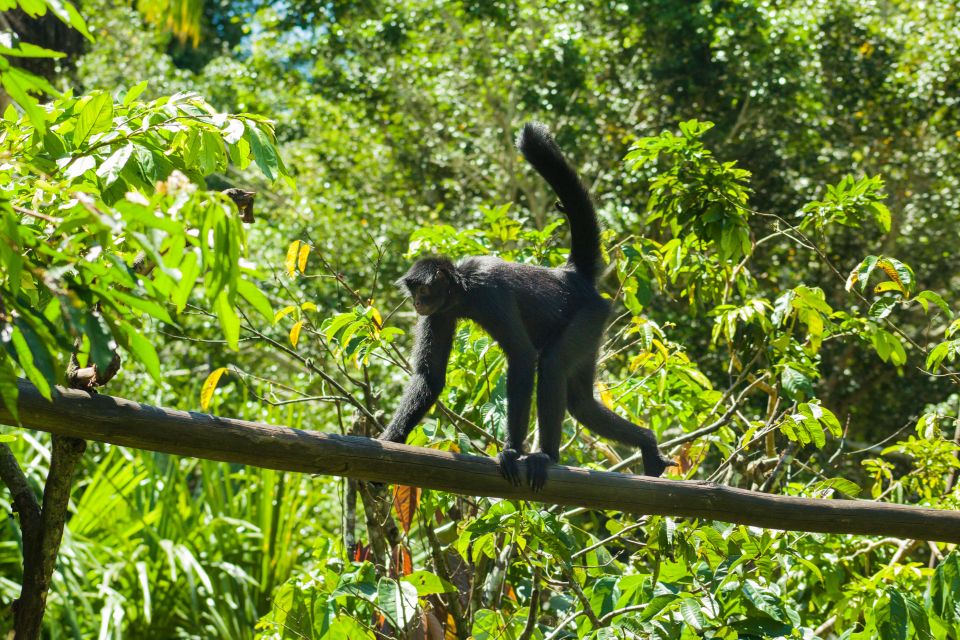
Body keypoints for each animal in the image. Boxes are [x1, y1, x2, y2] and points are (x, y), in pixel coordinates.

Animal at [376, 122, 676, 488]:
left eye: (423, 290)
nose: (417, 301)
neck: (464, 288)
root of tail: (570, 276)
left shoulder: (490, 294)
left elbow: (521, 356)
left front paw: (511, 451)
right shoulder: (440, 313)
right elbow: (430, 377)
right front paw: (390, 440)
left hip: (589, 315)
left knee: (552, 365)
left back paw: (546, 455)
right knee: (581, 403)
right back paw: (648, 443)